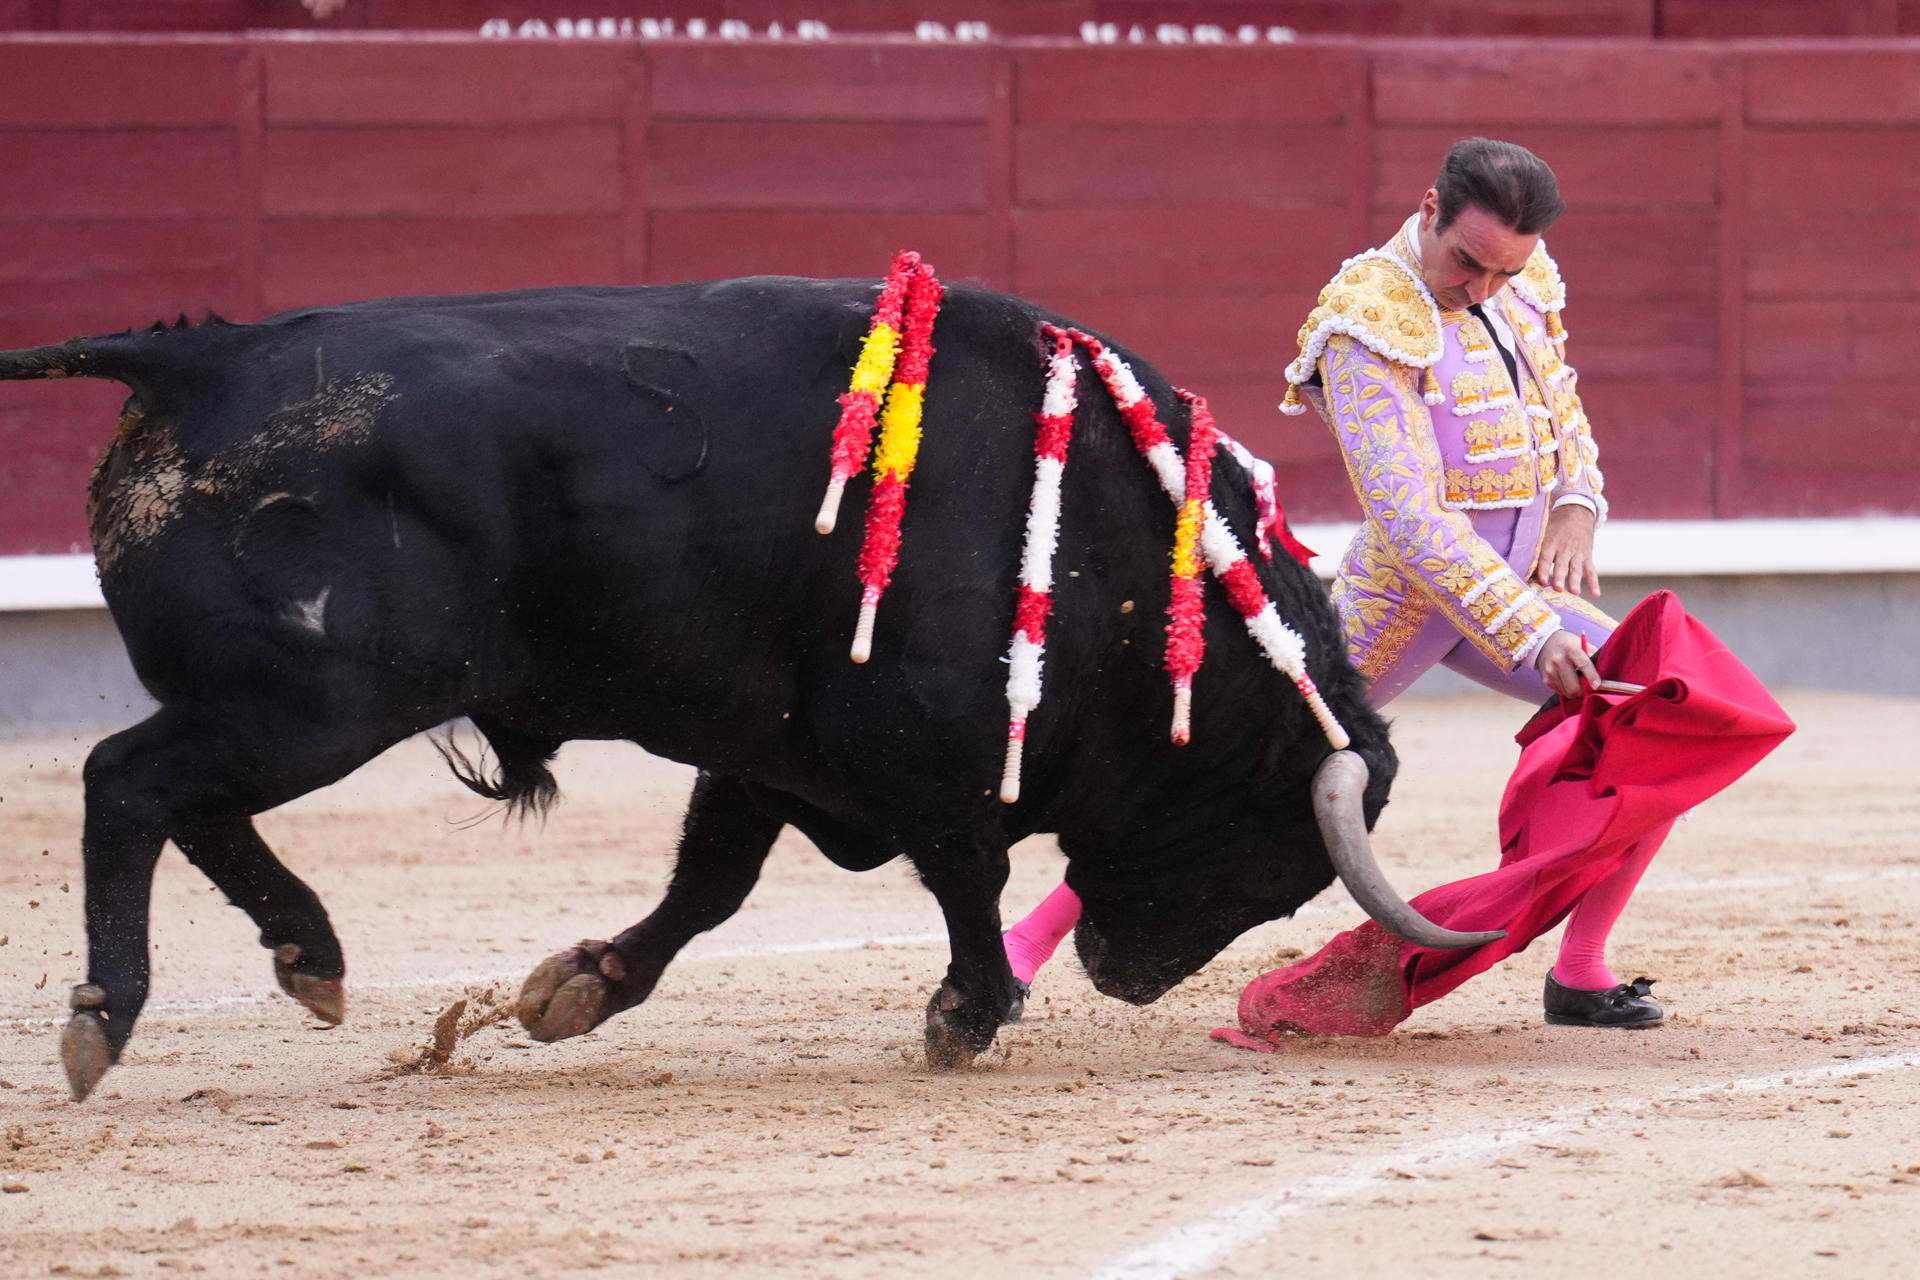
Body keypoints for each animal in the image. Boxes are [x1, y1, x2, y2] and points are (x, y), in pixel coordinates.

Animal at [0, 278, 1482, 1105]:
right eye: (1274, 856)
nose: (1125, 976)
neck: (1115, 551)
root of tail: (199, 355)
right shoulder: (922, 749)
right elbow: (968, 877)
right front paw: (967, 1014)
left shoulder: (770, 743)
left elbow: (710, 882)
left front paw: (578, 986)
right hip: (319, 700)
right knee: (130, 781)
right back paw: (110, 1015)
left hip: (283, 705)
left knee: (187, 801)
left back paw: (309, 955)